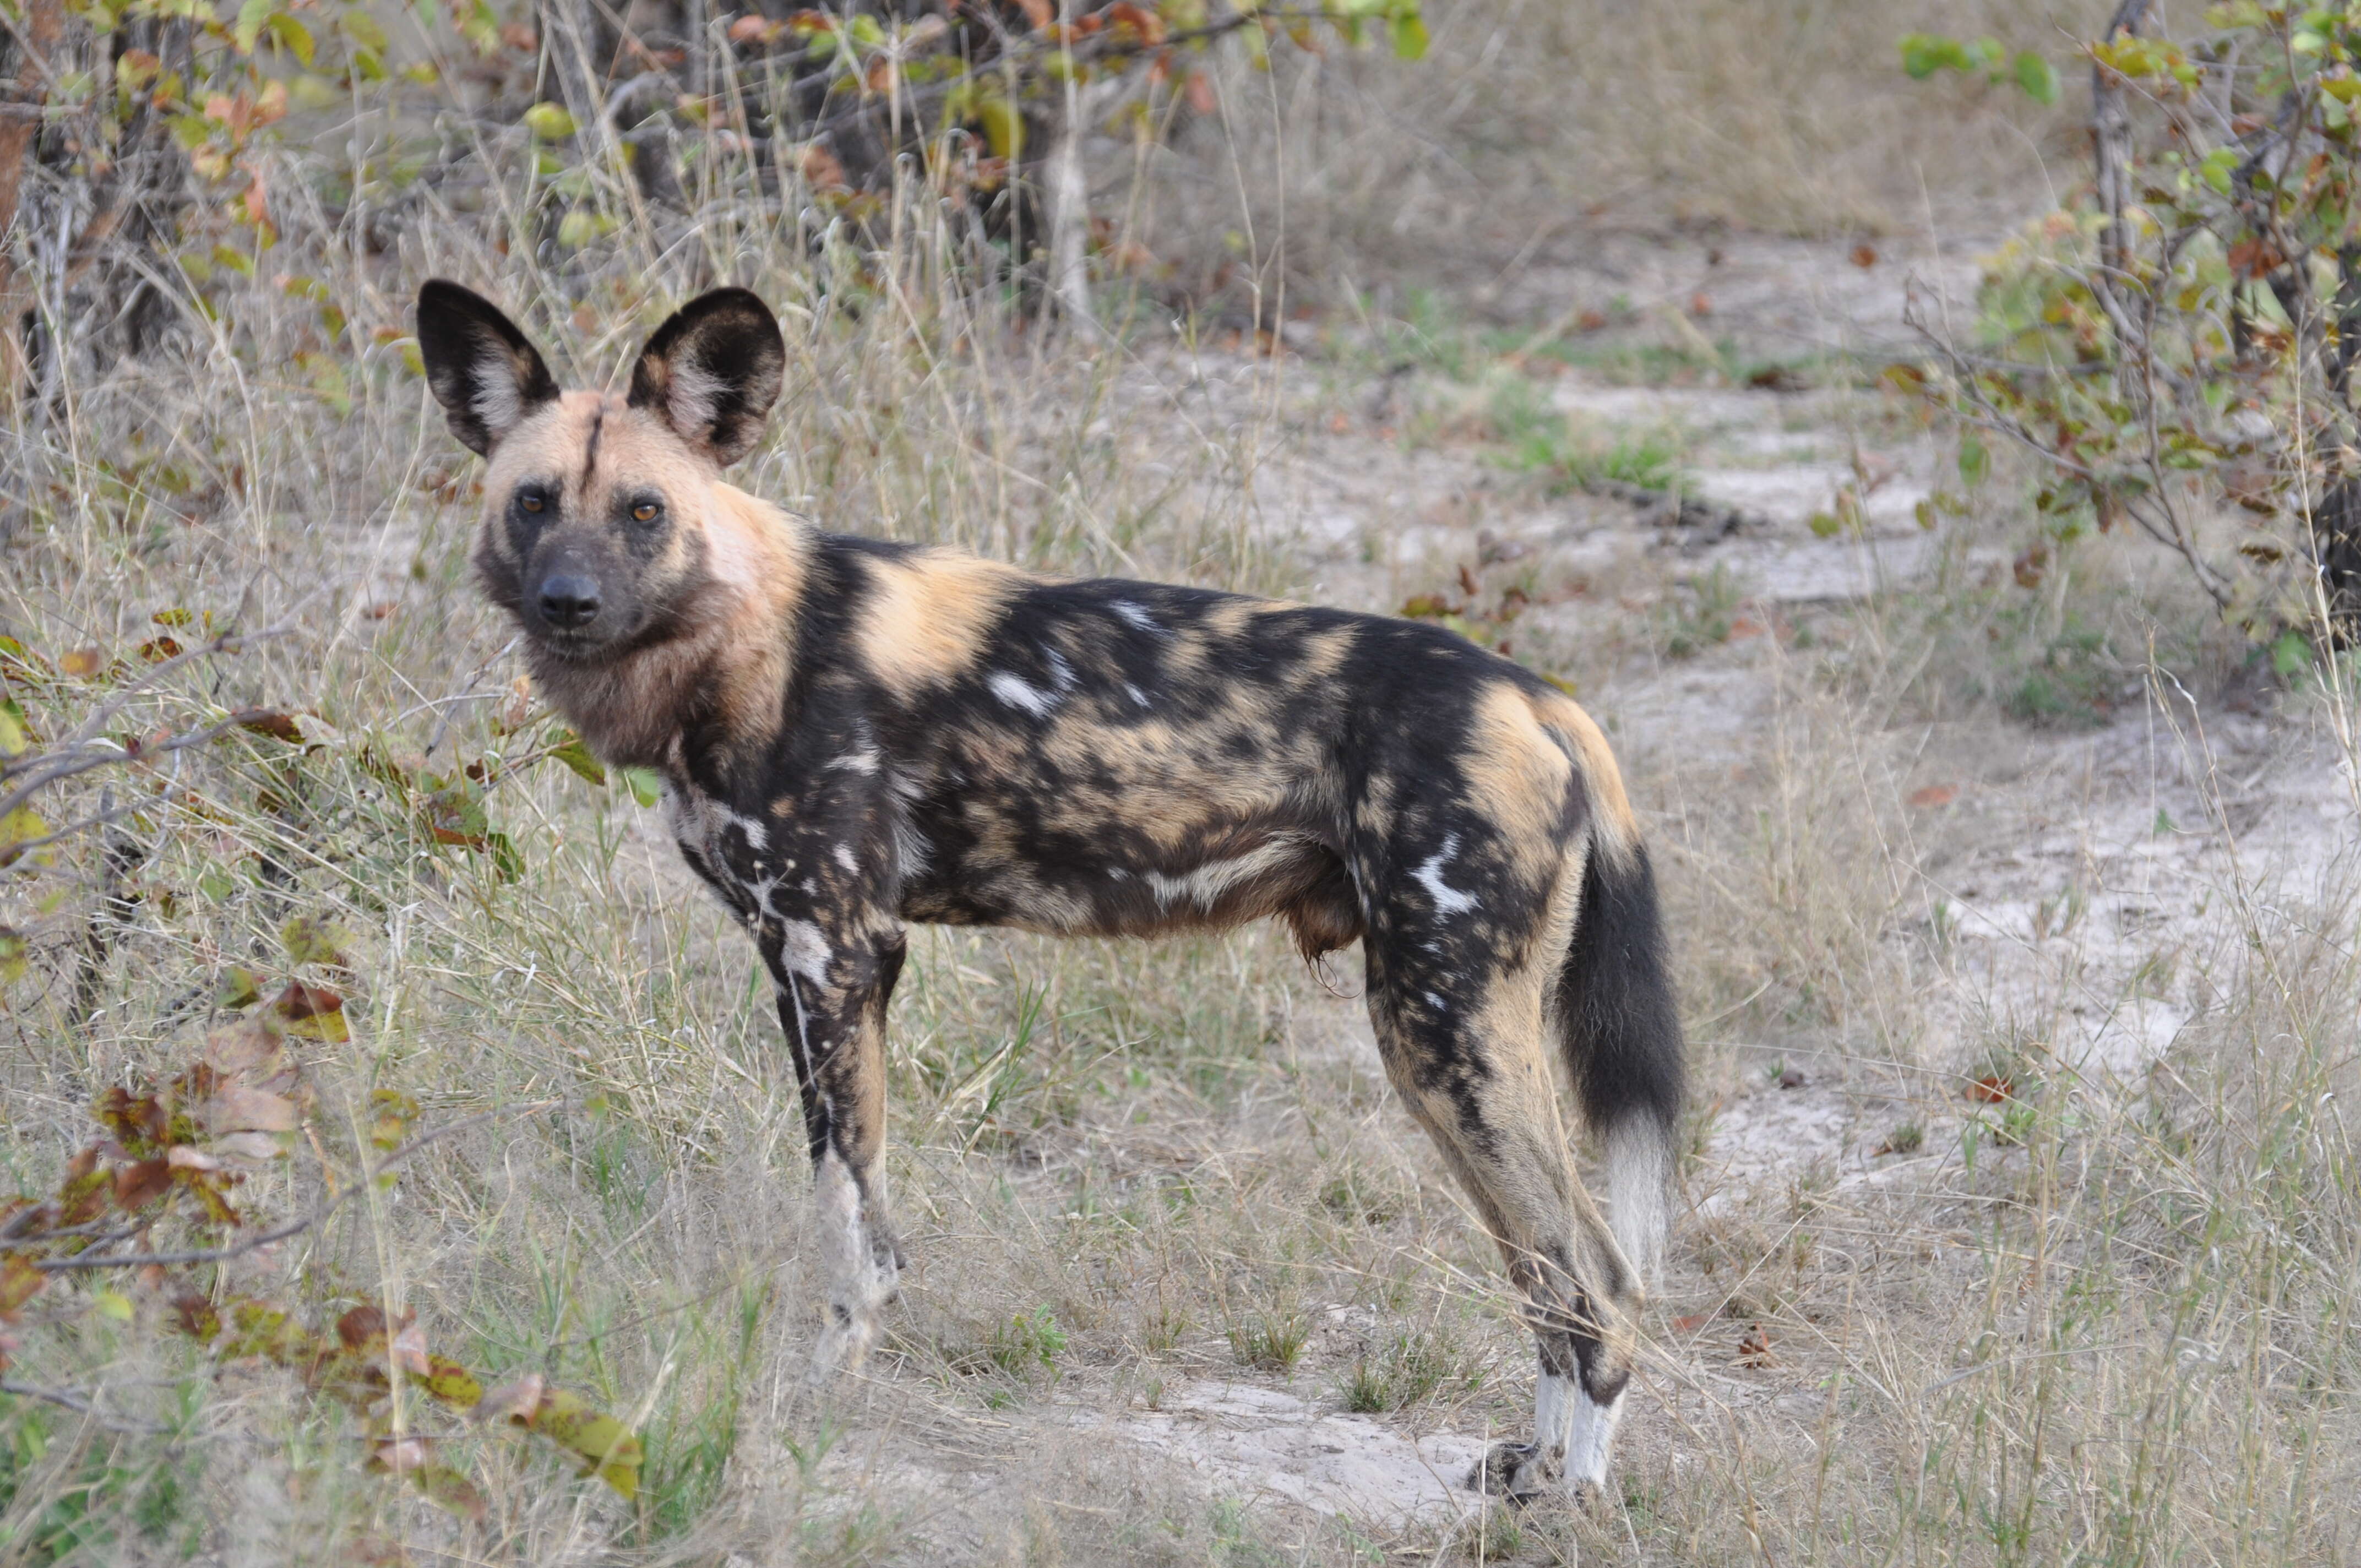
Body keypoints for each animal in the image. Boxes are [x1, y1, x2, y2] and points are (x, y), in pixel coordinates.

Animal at [415, 282, 1690, 1511]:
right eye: (533, 501)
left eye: (643, 511)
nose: (567, 600)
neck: (742, 635)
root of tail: (1535, 694)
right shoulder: (804, 964)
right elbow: (846, 1201)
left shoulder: (838, 954)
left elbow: (854, 1233)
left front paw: (810, 1405)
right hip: (1439, 1050)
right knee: (1546, 1275)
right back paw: (1533, 1471)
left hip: (1444, 1030)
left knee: (1599, 1279)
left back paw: (1574, 1499)